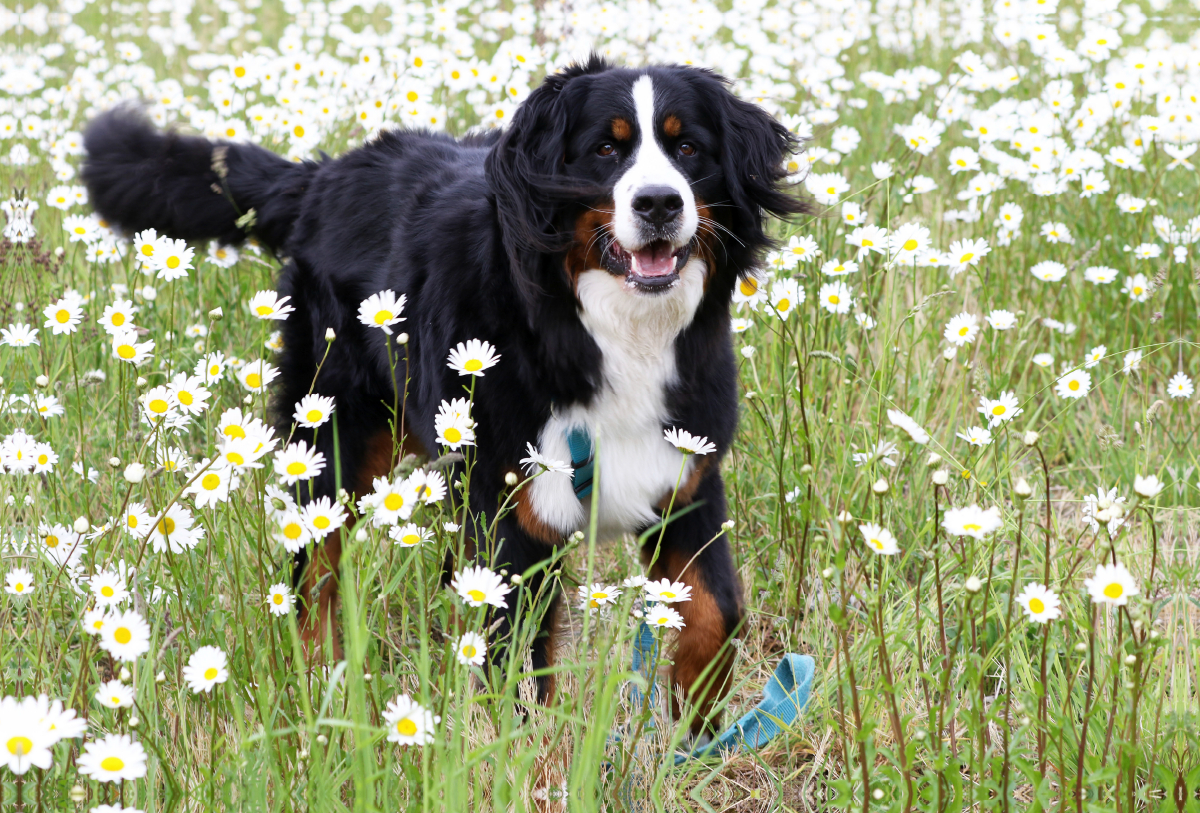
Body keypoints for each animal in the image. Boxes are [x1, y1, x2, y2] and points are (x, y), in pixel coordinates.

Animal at [79, 54, 801, 733]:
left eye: (688, 148)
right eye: (605, 148)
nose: (658, 203)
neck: (606, 330)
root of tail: (324, 175)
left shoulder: (684, 476)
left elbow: (716, 613)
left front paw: (694, 734)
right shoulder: (511, 509)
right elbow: (517, 678)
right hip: (337, 437)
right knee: (313, 579)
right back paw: (321, 696)